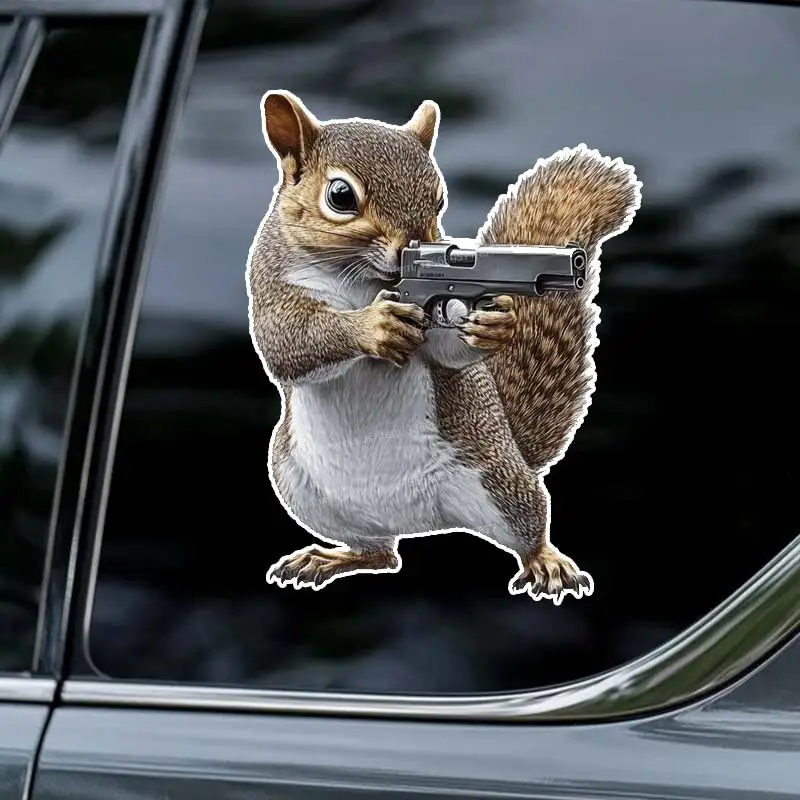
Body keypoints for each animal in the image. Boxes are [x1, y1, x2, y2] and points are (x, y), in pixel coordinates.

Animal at [247, 90, 641, 604]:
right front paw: (373, 326)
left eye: (439, 197)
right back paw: (329, 558)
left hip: (498, 482)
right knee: (380, 553)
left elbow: (448, 352)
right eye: (340, 196)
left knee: (524, 530)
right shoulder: (270, 283)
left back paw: (547, 563)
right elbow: (287, 342)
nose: (412, 244)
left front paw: (496, 325)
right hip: (300, 485)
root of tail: (418, 521)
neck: (362, 279)